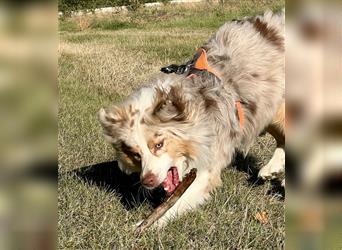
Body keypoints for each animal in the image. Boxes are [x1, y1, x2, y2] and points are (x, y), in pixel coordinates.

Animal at [98, 10, 284, 227]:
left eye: (159, 145)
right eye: (135, 154)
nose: (148, 181)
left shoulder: (209, 161)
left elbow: (179, 200)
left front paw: (147, 225)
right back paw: (273, 170)